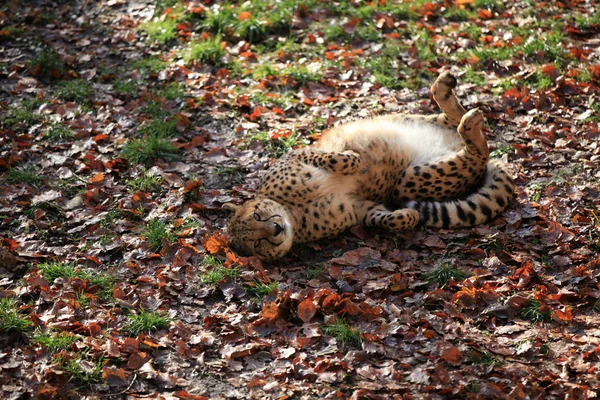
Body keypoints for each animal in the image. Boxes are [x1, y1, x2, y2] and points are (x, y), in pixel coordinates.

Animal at [225, 72, 516, 260]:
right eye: (257, 243)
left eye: (257, 215)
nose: (276, 229)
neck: (293, 211)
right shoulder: (359, 207)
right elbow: (390, 219)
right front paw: (407, 216)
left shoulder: (298, 154)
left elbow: (331, 156)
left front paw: (352, 158)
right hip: (408, 181)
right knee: (475, 149)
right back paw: (465, 117)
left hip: (406, 122)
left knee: (461, 128)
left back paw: (447, 90)